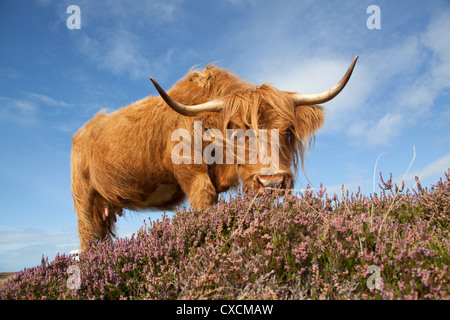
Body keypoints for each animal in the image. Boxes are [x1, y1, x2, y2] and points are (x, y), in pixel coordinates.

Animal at [70, 56, 358, 249]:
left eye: (288, 130)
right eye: (238, 130)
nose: (272, 182)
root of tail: (83, 131)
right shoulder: (196, 180)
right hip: (84, 199)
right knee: (88, 240)